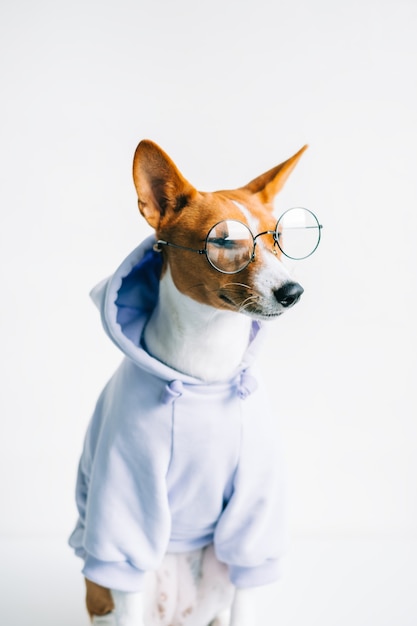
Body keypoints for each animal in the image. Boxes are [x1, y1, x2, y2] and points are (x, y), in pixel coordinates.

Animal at [70, 139, 320, 620]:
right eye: (223, 240)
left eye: (278, 238)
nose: (293, 292)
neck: (207, 367)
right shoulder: (122, 503)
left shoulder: (250, 521)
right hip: (118, 584)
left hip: (218, 567)